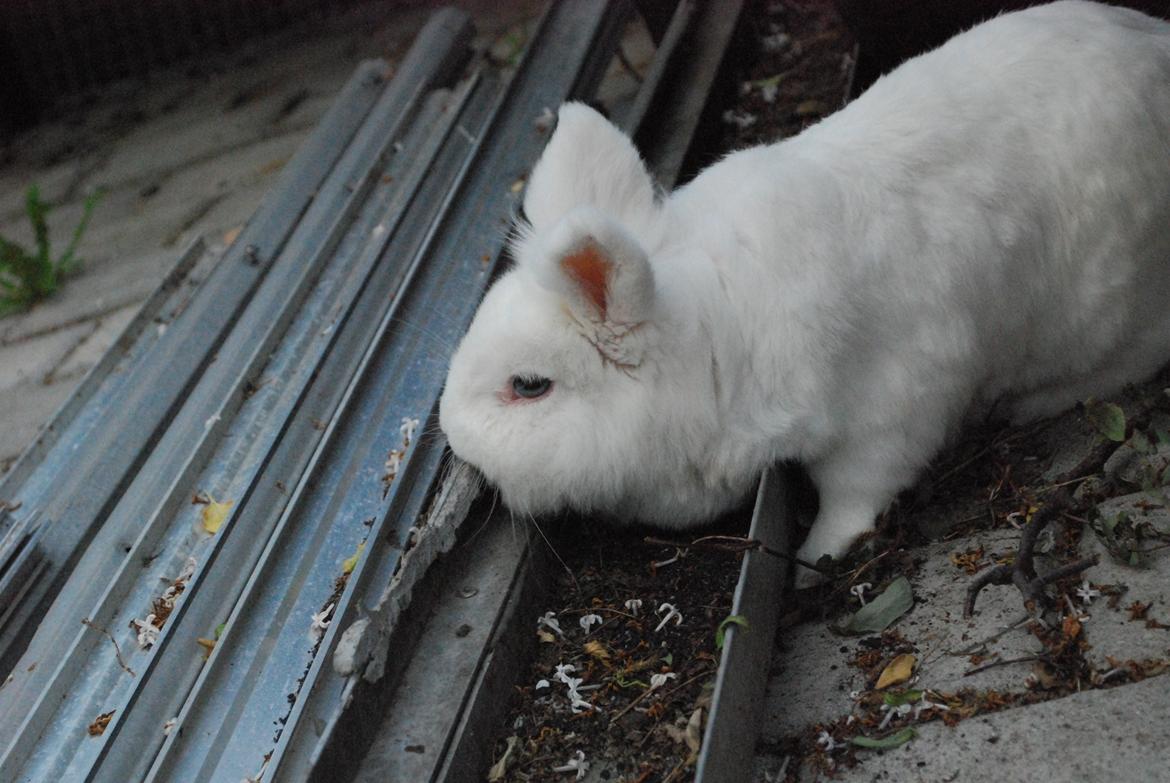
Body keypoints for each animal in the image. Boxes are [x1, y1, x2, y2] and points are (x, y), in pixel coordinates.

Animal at [437, 1, 1170, 585]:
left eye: (530, 386)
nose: (452, 435)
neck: (712, 338)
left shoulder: (892, 413)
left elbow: (854, 493)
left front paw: (816, 562)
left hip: (1110, 309)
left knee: (1131, 361)